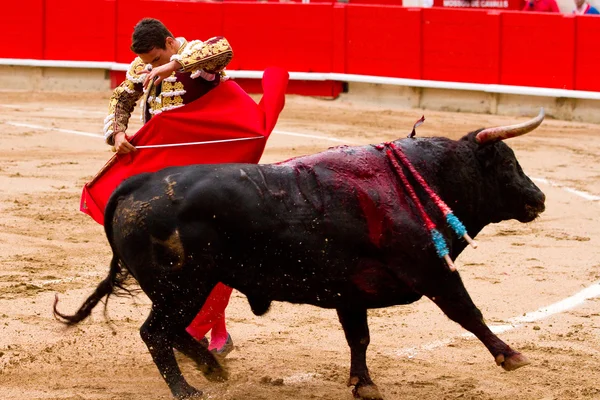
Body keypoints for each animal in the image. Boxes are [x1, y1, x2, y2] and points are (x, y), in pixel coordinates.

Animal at [56, 109, 548, 400]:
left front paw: (363, 385)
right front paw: (512, 357)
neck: (416, 183)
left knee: (171, 332)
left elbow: (359, 338)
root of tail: (135, 185)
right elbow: (469, 313)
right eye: (508, 164)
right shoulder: (432, 271)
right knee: (156, 333)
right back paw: (188, 389)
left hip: (187, 287)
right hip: (183, 286)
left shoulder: (352, 292)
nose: (539, 198)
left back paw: (214, 369)